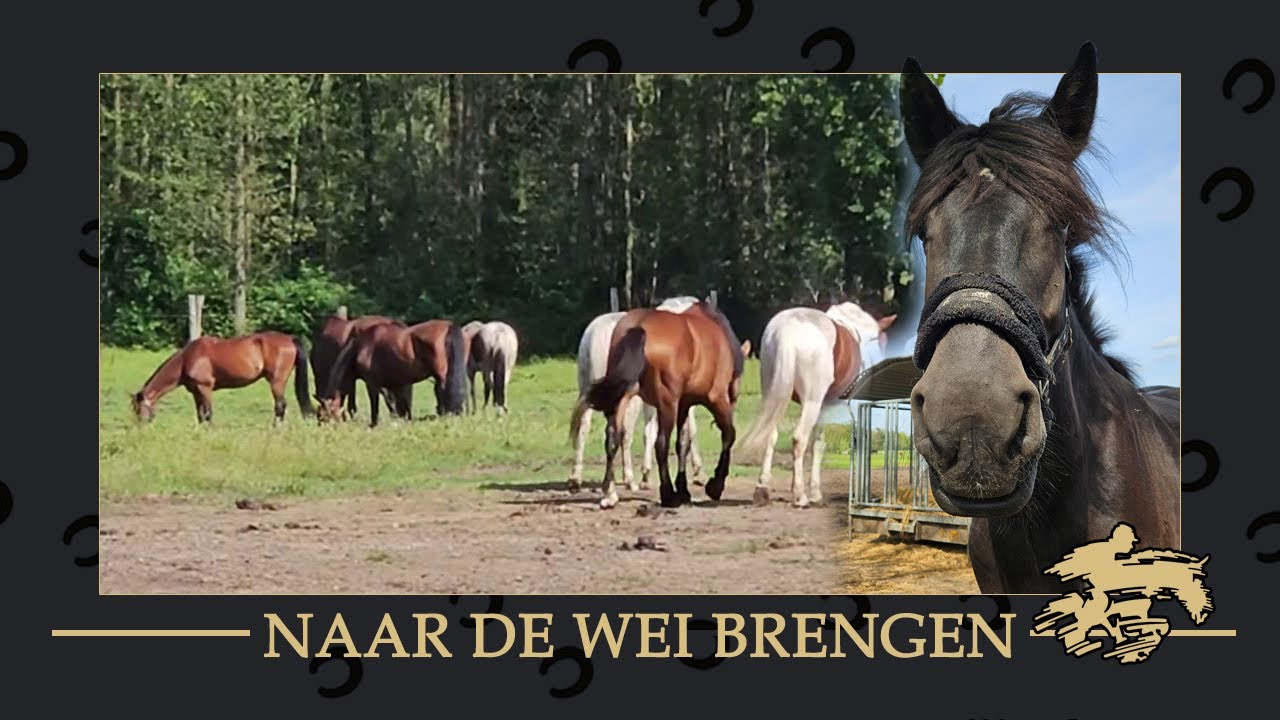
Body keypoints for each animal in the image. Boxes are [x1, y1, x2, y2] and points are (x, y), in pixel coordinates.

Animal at [129, 331, 312, 425]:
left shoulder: (205, 388)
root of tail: (290, 339)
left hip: (276, 381)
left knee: (280, 406)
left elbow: (208, 414)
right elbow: (200, 415)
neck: (187, 359)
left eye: (138, 409)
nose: (140, 426)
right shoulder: (196, 392)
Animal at [318, 319, 469, 426]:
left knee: (443, 391)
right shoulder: (395, 384)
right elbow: (396, 404)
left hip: (441, 375)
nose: (321, 429)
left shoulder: (372, 383)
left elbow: (376, 403)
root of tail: (448, 326)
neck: (361, 346)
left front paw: (374, 424)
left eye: (323, 416)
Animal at [586, 299, 747, 509]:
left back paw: (609, 494)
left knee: (613, 437)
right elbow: (728, 435)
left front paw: (684, 490)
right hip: (667, 404)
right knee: (660, 443)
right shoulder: (715, 398)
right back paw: (668, 494)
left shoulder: (684, 404)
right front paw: (715, 485)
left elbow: (683, 443)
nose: (735, 397)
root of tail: (641, 326)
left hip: (624, 397)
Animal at [736, 302, 896, 507]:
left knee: (770, 436)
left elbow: (817, 443)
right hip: (811, 401)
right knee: (799, 438)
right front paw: (816, 492)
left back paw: (762, 489)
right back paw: (799, 495)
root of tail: (788, 330)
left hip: (774, 395)